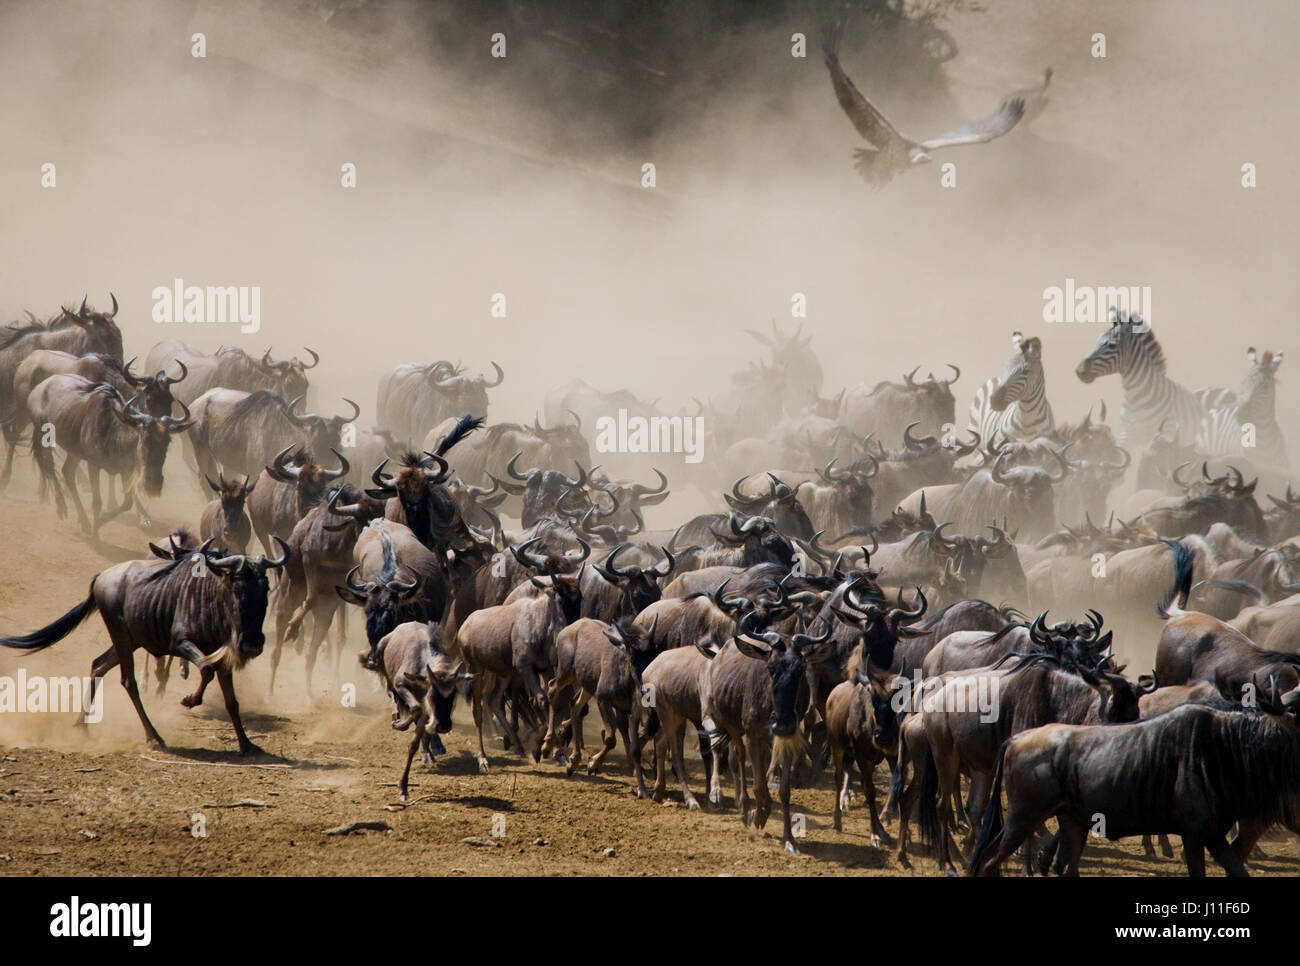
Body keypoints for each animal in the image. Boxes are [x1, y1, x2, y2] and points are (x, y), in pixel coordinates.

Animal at [1076, 309, 1227, 449]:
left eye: (1112, 345)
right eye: (1096, 341)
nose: (1079, 370)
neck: (1135, 396)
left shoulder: (1167, 431)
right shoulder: (1127, 433)